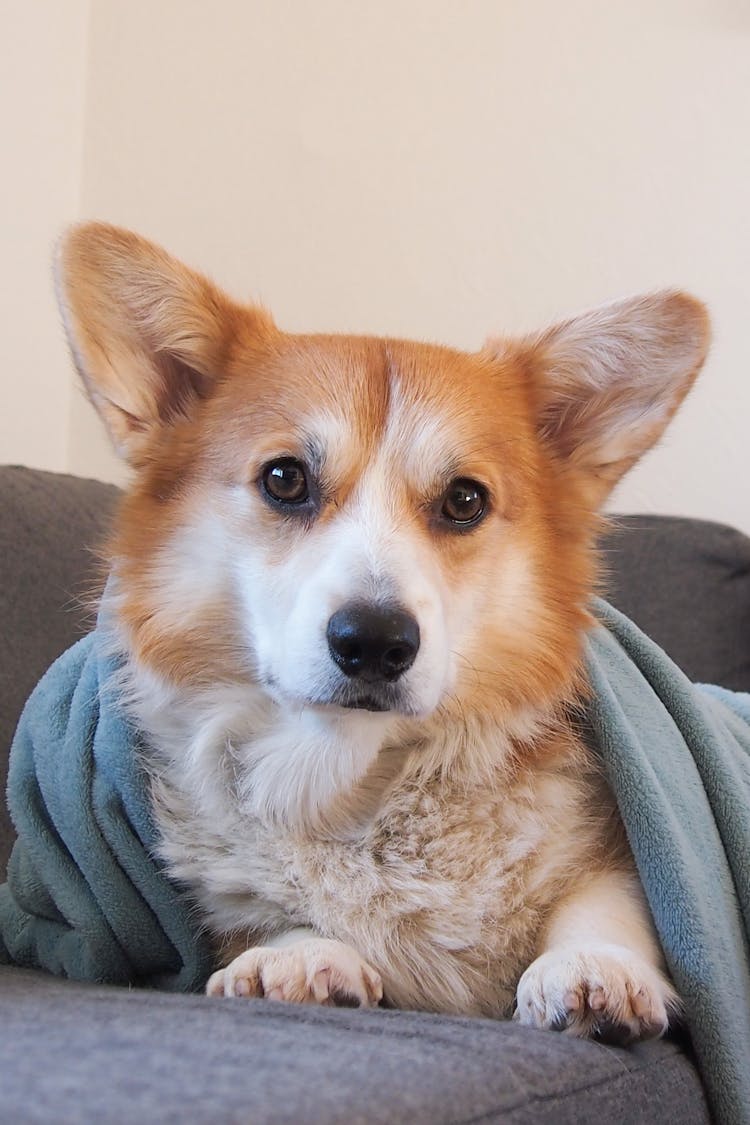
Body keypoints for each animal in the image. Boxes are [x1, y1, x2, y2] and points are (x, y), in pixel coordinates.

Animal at [54, 223, 710, 1039]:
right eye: (284, 479)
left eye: (465, 499)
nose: (374, 642)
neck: (355, 775)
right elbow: (269, 916)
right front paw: (295, 956)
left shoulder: (625, 853)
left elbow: (602, 899)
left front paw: (591, 967)